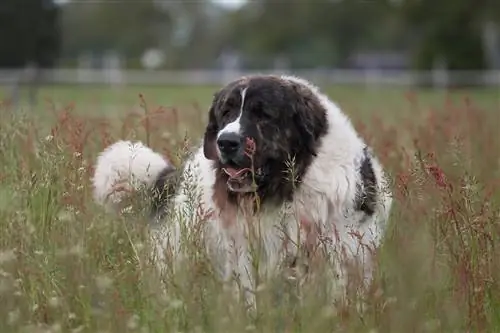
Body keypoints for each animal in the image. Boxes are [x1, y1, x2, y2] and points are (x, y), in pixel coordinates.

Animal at [92, 74, 392, 308]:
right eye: (226, 112)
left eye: (264, 114)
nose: (226, 142)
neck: (287, 189)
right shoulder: (245, 255)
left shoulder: (340, 251)